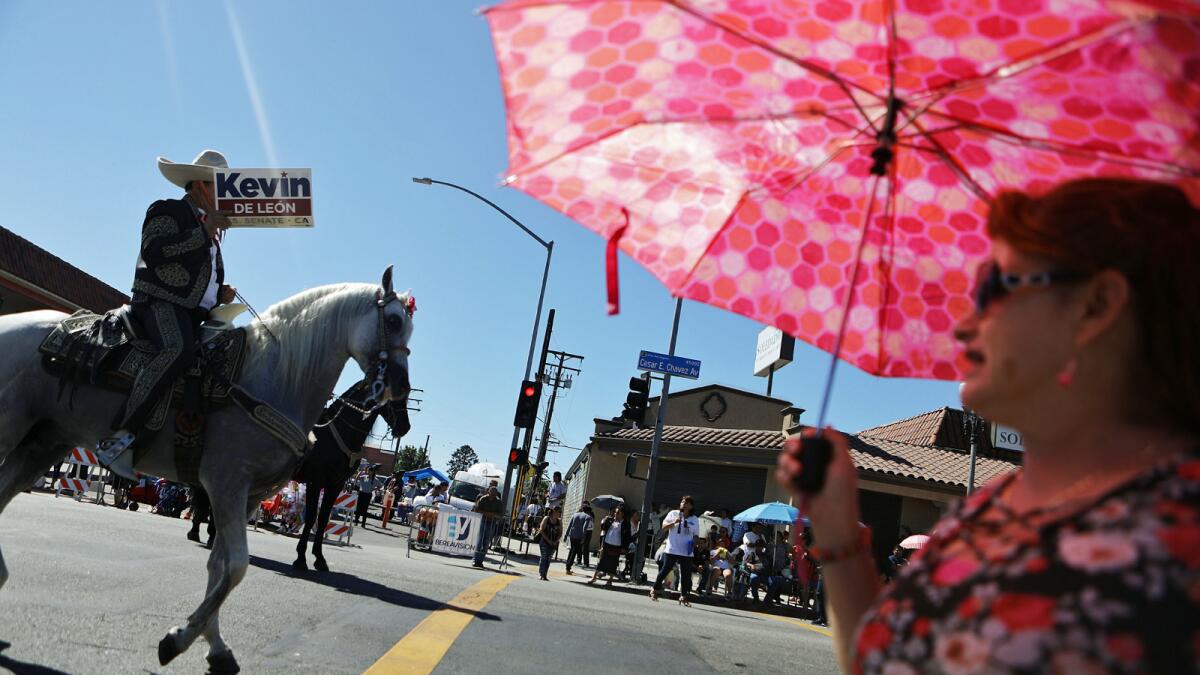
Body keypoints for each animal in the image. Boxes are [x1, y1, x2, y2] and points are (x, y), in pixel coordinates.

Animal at [0, 265, 415, 667]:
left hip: (43, 443)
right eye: (394, 321)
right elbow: (237, 565)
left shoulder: (251, 495)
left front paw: (213, 644)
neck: (275, 377)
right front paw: (179, 638)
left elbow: (220, 566)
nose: (400, 387)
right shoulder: (228, 483)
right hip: (13, 428)